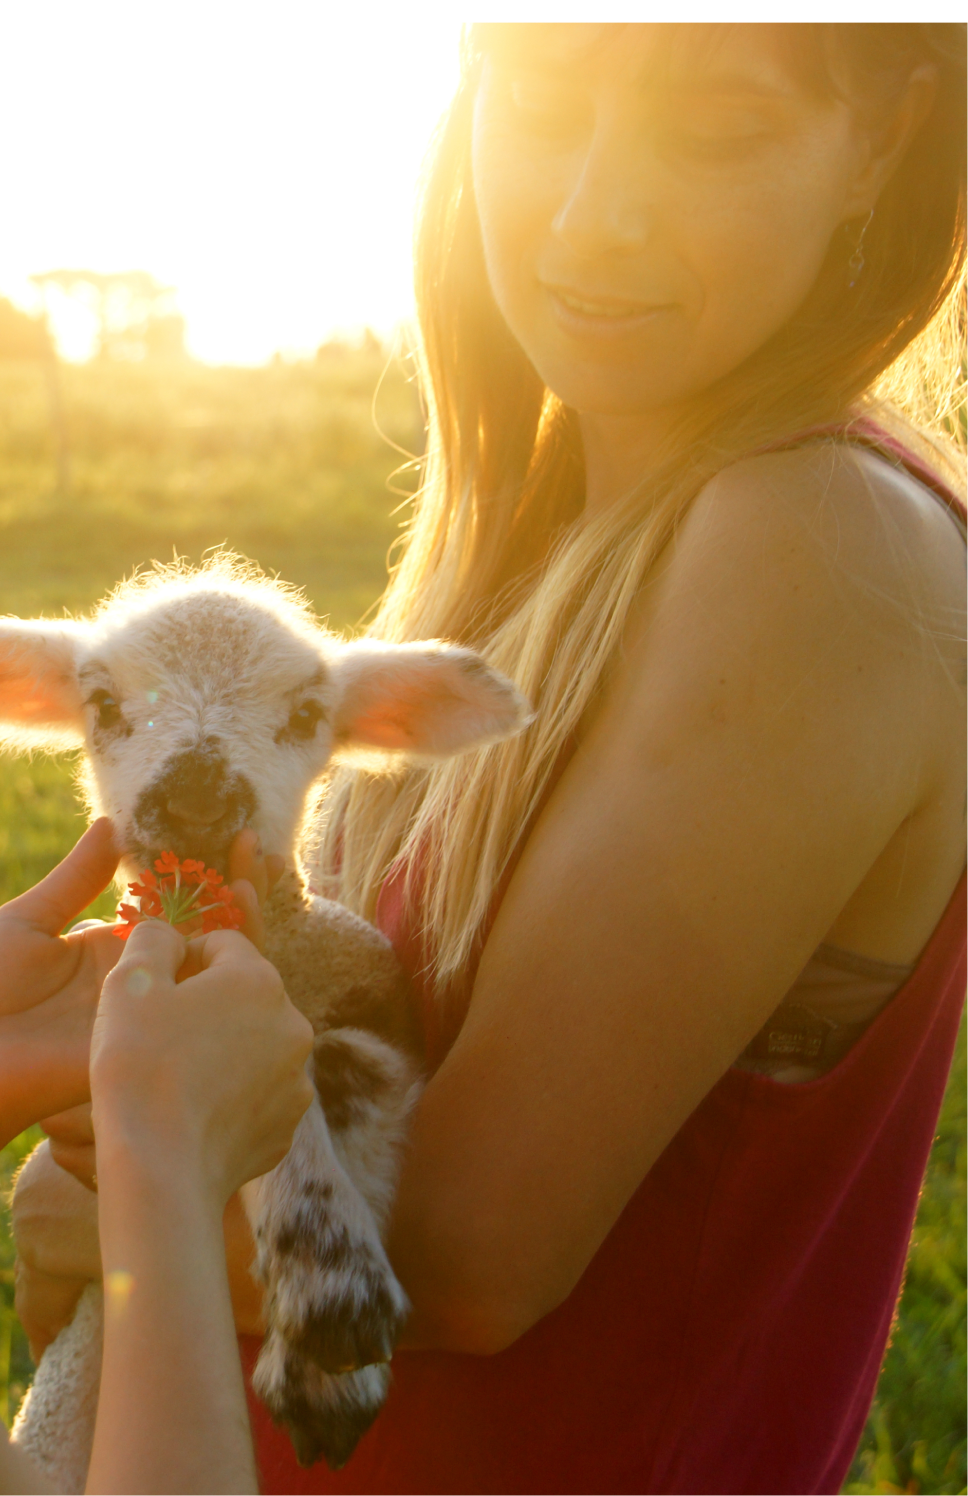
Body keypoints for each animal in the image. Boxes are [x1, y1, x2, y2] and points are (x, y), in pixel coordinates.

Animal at [0, 556, 529, 1494]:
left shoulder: (380, 1008)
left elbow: (338, 1068)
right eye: (101, 703)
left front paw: (330, 1340)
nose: (196, 803)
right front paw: (332, 1309)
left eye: (309, 716)